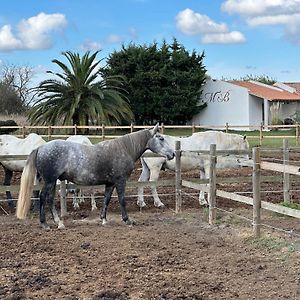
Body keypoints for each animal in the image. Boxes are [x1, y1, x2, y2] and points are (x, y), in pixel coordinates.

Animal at [16, 125, 175, 230]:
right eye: (161, 138)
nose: (172, 153)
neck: (124, 149)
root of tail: (40, 148)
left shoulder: (110, 183)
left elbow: (106, 200)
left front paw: (103, 219)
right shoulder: (120, 181)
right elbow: (122, 200)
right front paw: (127, 220)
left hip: (52, 181)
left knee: (48, 199)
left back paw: (56, 222)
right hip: (50, 181)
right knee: (44, 197)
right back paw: (48, 224)